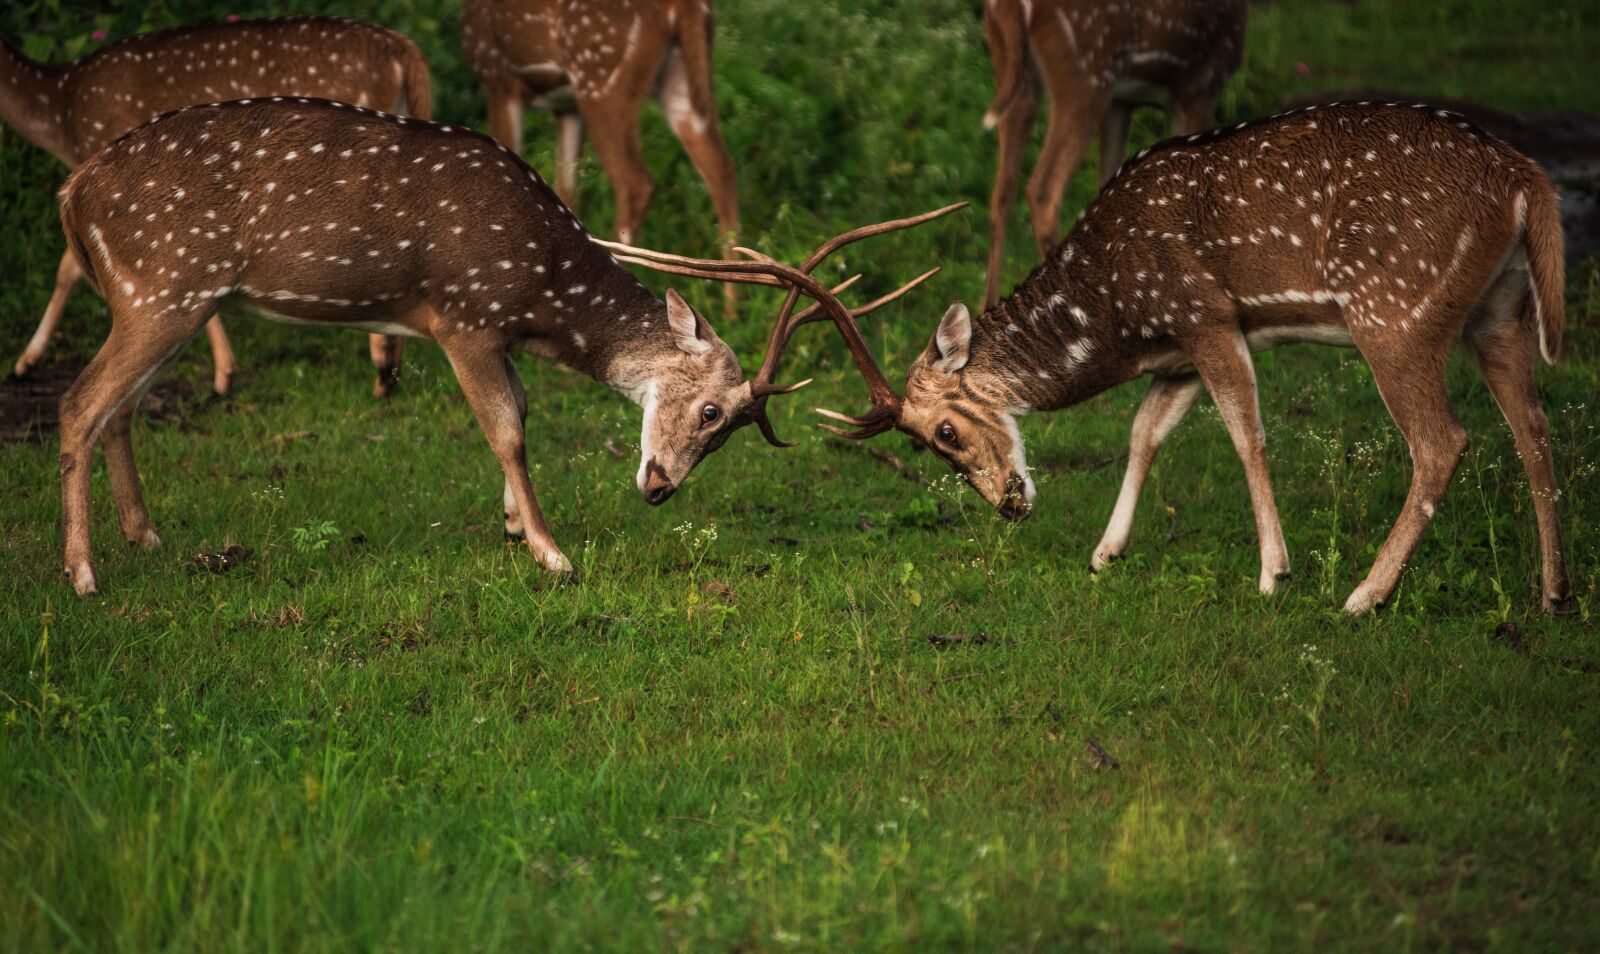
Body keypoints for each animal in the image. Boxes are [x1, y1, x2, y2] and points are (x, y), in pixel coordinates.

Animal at [2, 16, 432, 396]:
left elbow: (68, 267)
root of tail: (405, 48)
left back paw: (383, 370)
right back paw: (389, 373)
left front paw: (25, 361)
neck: (58, 111)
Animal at [53, 95, 955, 595]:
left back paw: (145, 537)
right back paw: (84, 574)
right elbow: (510, 428)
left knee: (119, 410)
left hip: (161, 299)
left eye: (732, 429)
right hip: (163, 286)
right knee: (79, 402)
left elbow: (519, 416)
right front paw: (554, 556)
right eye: (709, 410)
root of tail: (71, 191)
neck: (541, 291)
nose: (660, 488)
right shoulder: (463, 316)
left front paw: (517, 527)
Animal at [461, 0, 740, 310]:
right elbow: (564, 191)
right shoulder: (566, 107)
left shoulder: (497, 77)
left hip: (600, 78)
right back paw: (731, 309)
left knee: (636, 183)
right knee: (721, 168)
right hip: (677, 78)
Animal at [812, 102, 1574, 615]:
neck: (1119, 317)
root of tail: (1524, 178)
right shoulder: (1176, 353)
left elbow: (1245, 432)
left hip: (1395, 312)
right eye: (919, 445)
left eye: (943, 431)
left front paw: (1273, 574)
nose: (1008, 504)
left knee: (1444, 440)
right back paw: (1554, 593)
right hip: (1499, 309)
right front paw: (1105, 551)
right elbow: (1143, 431)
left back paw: (1365, 595)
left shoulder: (1206, 316)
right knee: (1534, 426)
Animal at [981, 0, 1246, 308]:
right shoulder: (1201, 85)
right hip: (1085, 73)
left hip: (1015, 74)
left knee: (1002, 190)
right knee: (1043, 190)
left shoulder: (1123, 102)